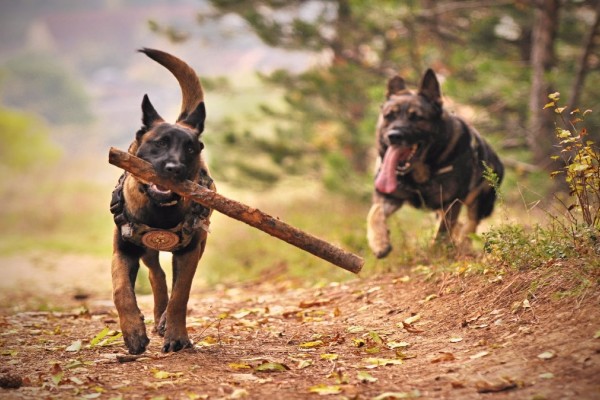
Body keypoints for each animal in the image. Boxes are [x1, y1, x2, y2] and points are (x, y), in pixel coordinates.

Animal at [110, 49, 213, 354]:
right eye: (160, 143)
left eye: (190, 148)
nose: (174, 168)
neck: (160, 210)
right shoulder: (123, 251)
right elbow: (121, 291)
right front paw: (133, 332)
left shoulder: (189, 252)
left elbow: (181, 295)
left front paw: (177, 335)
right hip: (145, 251)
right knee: (157, 275)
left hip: (199, 246)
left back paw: (165, 321)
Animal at [366, 69, 502, 258]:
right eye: (389, 116)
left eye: (416, 118)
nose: (393, 136)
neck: (418, 173)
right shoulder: (388, 197)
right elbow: (374, 213)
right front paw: (379, 242)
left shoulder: (451, 203)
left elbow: (441, 233)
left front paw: (436, 253)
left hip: (479, 203)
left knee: (469, 226)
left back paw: (462, 245)